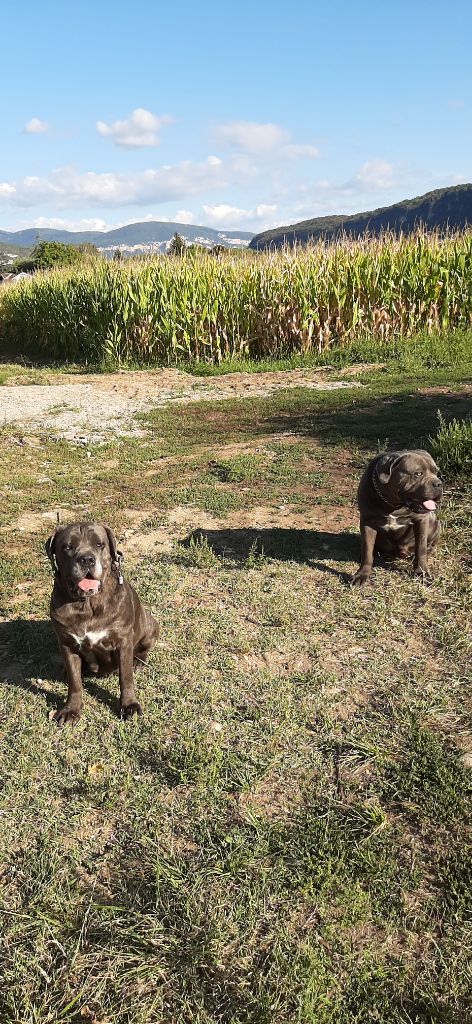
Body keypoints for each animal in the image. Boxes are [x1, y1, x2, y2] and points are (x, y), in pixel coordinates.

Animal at [45, 522, 158, 724]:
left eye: (99, 544)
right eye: (67, 547)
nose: (86, 559)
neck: (87, 604)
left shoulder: (123, 642)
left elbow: (126, 677)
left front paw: (129, 705)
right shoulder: (66, 644)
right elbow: (74, 682)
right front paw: (71, 709)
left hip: (150, 626)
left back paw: (138, 662)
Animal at [351, 449, 442, 587]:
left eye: (436, 472)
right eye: (418, 474)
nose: (438, 483)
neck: (393, 504)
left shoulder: (421, 520)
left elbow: (421, 547)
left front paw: (421, 572)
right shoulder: (368, 522)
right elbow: (367, 549)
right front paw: (362, 574)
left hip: (437, 525)